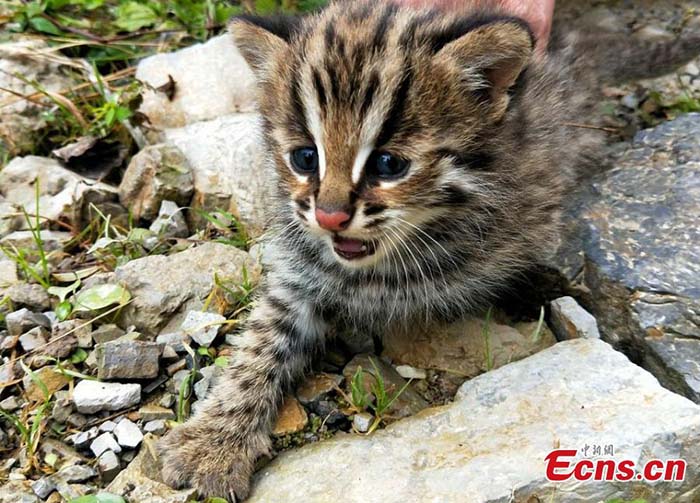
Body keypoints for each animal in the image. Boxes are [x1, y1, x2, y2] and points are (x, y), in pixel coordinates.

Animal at [160, 0, 700, 500]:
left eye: (388, 164)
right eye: (305, 157)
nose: (329, 216)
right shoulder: (298, 271)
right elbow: (262, 342)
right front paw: (215, 440)